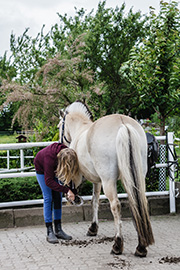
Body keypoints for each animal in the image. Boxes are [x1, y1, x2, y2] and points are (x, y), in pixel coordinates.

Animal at [58, 100, 154, 258]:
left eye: (59, 126)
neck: (81, 129)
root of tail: (123, 124)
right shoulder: (98, 181)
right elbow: (95, 201)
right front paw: (93, 227)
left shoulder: (83, 177)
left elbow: (92, 199)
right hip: (134, 178)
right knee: (138, 202)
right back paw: (141, 247)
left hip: (108, 181)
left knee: (116, 205)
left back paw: (117, 245)